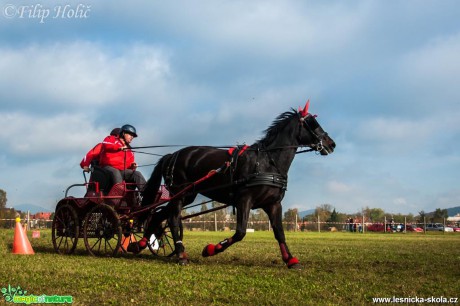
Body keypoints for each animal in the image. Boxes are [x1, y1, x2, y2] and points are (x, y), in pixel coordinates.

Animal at [135, 101, 332, 268]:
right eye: (313, 123)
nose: (331, 144)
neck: (268, 162)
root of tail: (172, 155)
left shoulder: (273, 204)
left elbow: (279, 232)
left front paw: (290, 259)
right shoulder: (244, 199)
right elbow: (240, 232)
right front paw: (211, 249)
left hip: (188, 195)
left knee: (159, 214)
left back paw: (142, 243)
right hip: (180, 192)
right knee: (173, 218)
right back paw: (181, 254)